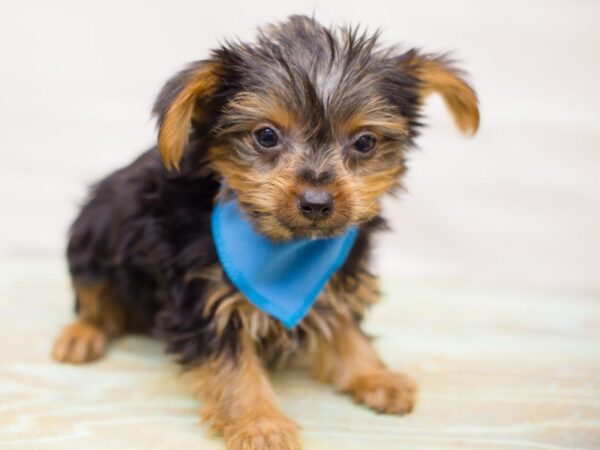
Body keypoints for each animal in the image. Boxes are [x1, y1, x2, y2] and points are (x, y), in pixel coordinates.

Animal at [54, 14, 480, 450]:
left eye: (364, 142)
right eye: (266, 136)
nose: (316, 202)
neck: (286, 247)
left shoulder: (337, 272)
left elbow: (344, 323)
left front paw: (372, 374)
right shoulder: (204, 296)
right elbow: (233, 366)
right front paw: (260, 422)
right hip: (93, 234)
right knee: (94, 295)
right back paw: (81, 334)